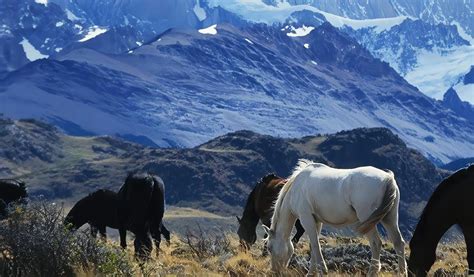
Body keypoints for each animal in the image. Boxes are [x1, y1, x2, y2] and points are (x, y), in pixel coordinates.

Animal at [262, 158, 408, 274]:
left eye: (269, 248)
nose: (275, 271)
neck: (296, 187)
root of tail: (388, 178)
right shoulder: (316, 221)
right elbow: (313, 246)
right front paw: (312, 273)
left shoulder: (306, 218)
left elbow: (315, 245)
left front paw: (322, 270)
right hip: (389, 218)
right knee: (398, 242)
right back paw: (402, 272)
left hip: (367, 219)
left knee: (376, 243)